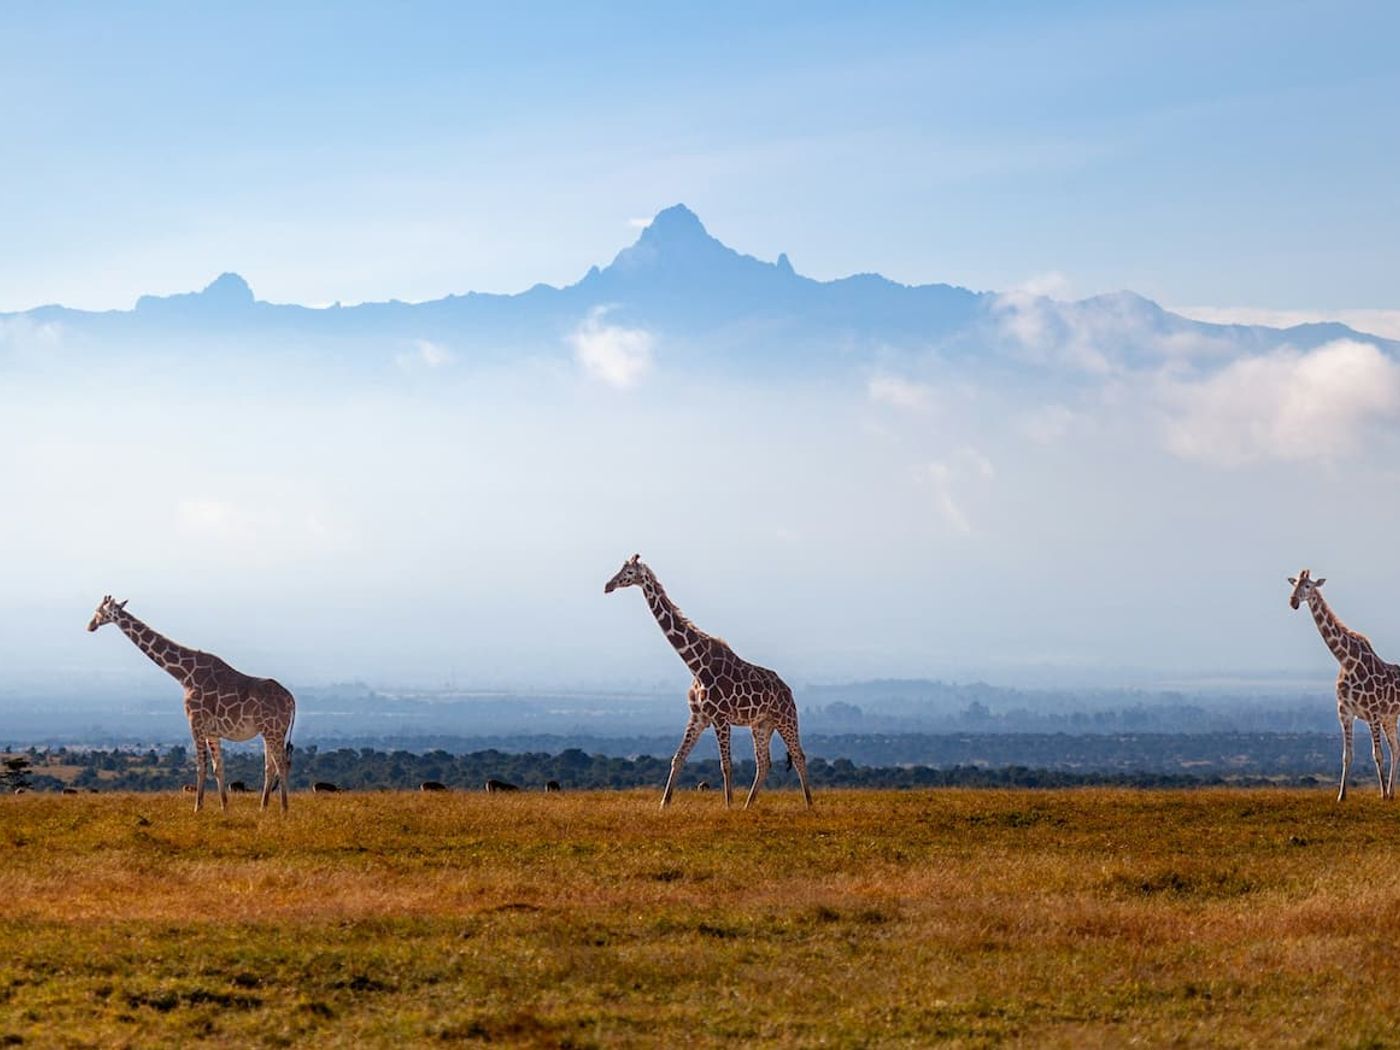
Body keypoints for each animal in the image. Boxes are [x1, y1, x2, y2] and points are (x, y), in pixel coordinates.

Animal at [87, 596, 296, 813]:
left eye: (99, 611)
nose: (90, 626)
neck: (185, 675)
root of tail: (291, 699)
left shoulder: (195, 723)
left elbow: (200, 766)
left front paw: (198, 807)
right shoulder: (212, 731)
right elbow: (218, 767)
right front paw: (224, 807)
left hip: (273, 730)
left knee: (282, 764)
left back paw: (284, 809)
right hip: (269, 731)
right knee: (270, 766)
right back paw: (263, 808)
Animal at [604, 554, 813, 810]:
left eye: (629, 572)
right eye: (620, 568)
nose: (608, 585)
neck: (696, 664)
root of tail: (788, 689)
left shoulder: (720, 718)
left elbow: (726, 764)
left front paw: (728, 805)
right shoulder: (698, 717)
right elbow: (678, 758)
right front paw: (664, 804)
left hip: (786, 718)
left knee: (798, 755)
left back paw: (809, 804)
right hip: (761, 725)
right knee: (764, 763)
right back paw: (748, 806)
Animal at [1289, 570, 1400, 801]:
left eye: (1308, 586)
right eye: (1294, 584)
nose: (1293, 602)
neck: (1346, 660)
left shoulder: (1372, 713)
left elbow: (1377, 755)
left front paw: (1382, 795)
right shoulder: (1345, 713)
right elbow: (1347, 755)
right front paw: (1342, 795)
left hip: (1387, 716)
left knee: (1393, 750)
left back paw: (1389, 792)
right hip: (1390, 717)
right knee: (1396, 749)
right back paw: (1393, 792)